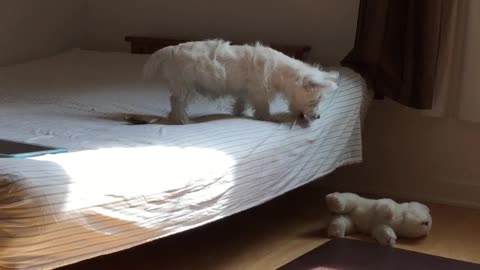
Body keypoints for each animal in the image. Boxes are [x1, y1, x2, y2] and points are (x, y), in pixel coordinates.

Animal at [142, 39, 342, 124]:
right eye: (314, 102)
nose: (318, 117)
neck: (281, 71)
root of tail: (170, 50)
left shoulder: (245, 91)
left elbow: (241, 102)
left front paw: (238, 113)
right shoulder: (259, 92)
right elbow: (263, 108)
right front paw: (270, 118)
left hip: (181, 85)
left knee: (174, 100)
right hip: (184, 85)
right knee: (177, 101)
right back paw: (182, 120)